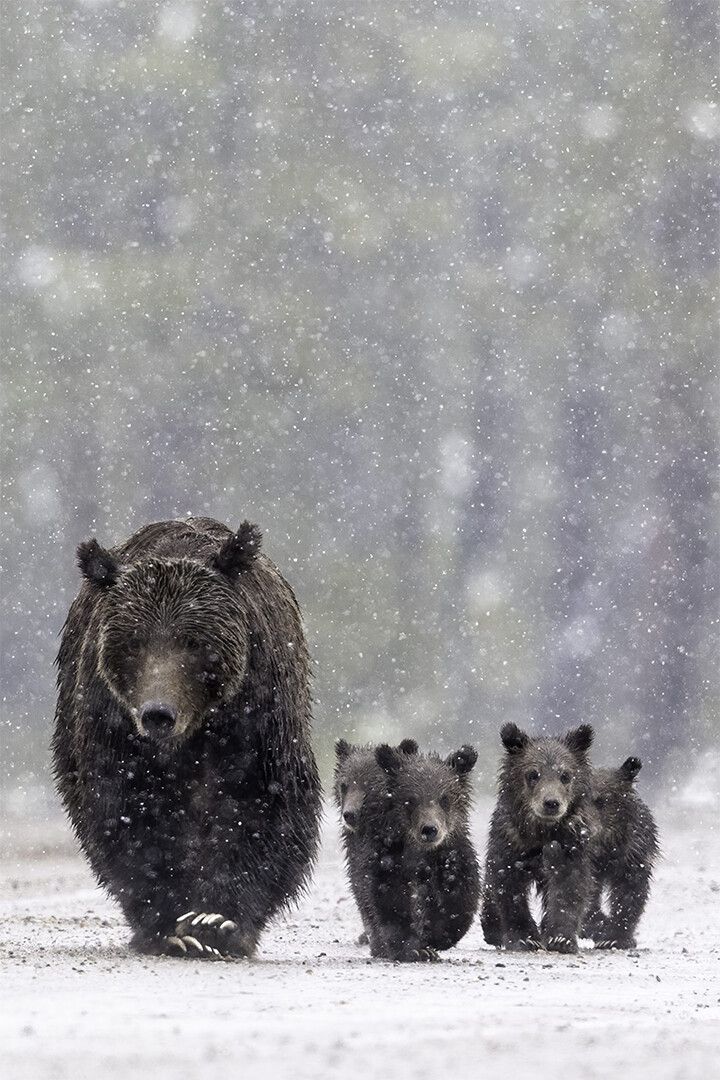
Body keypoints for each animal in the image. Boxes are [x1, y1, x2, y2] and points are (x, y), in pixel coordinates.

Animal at [52, 517, 322, 959]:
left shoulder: (255, 717)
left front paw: (216, 921)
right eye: (134, 642)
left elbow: (258, 805)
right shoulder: (113, 725)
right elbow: (127, 811)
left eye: (193, 641)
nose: (158, 713)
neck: (192, 733)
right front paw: (170, 926)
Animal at [344, 742, 480, 962]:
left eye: (444, 798)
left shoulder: (451, 852)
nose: (429, 829)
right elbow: (391, 897)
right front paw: (413, 948)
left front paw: (435, 937)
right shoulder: (386, 854)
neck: (418, 849)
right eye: (410, 800)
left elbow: (460, 892)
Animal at [480, 722, 598, 954]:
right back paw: (492, 929)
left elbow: (569, 886)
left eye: (565, 775)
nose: (551, 802)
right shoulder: (511, 842)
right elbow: (508, 886)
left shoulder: (570, 843)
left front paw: (561, 939)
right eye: (533, 774)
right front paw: (524, 938)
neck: (541, 833)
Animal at [582, 756, 659, 949]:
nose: (585, 831)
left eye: (602, 800)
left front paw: (618, 936)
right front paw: (600, 927)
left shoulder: (633, 855)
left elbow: (629, 893)